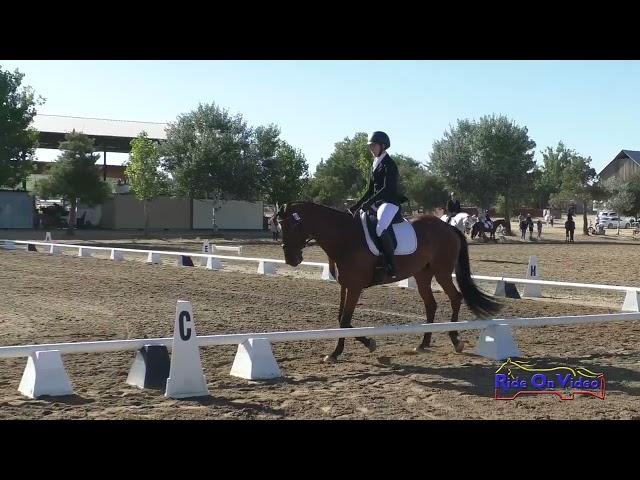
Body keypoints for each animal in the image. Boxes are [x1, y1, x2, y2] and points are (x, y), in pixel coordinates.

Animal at [276, 201, 500, 362]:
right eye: (280, 226)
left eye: (293, 225)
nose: (291, 259)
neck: (344, 237)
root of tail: (447, 226)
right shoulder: (345, 285)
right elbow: (341, 319)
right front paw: (340, 351)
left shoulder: (355, 287)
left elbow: (345, 320)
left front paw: (359, 346)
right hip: (422, 275)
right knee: (431, 304)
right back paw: (423, 343)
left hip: (442, 272)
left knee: (455, 298)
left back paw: (455, 340)